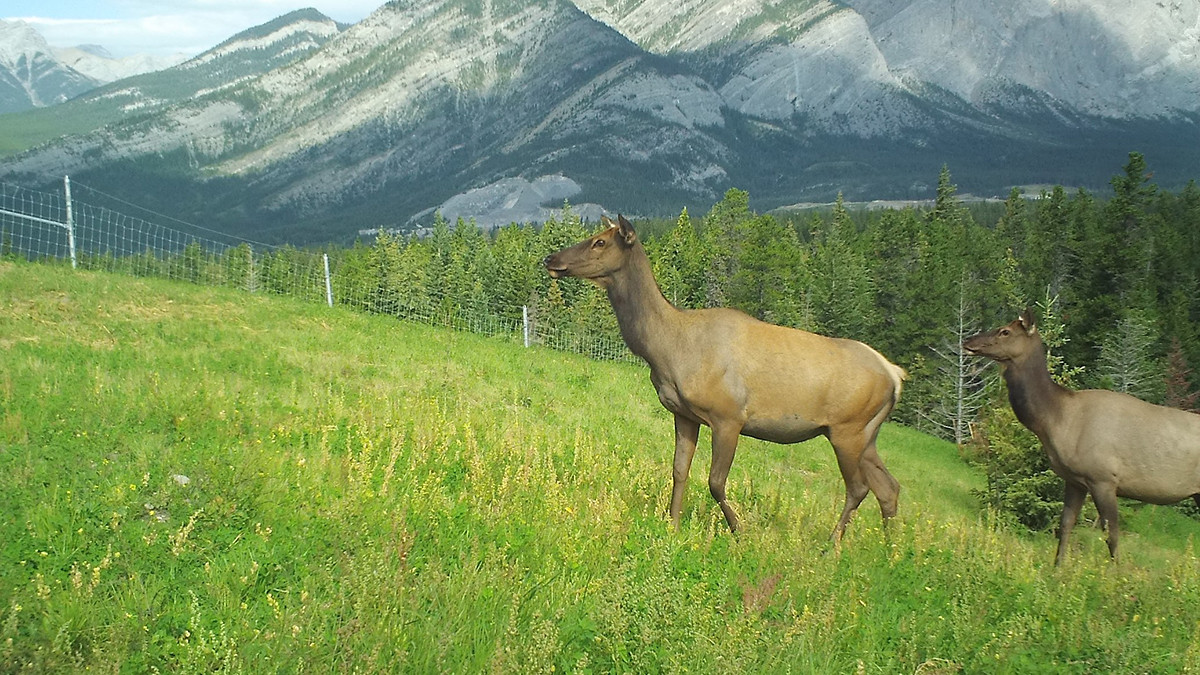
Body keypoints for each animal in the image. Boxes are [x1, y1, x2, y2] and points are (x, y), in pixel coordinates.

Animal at [543, 215, 907, 542]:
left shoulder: (729, 416)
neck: (667, 348)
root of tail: (895, 375)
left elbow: (715, 482)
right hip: (866, 434)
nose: (551, 258)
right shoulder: (684, 414)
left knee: (859, 487)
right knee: (888, 487)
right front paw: (672, 526)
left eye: (600, 242)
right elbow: (680, 470)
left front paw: (740, 531)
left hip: (848, 429)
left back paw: (831, 546)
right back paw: (890, 552)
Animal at [964, 309, 1200, 564]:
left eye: (1005, 331)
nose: (967, 341)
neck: (1056, 420)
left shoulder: (1103, 479)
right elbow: (1065, 524)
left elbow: (1111, 535)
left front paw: (1116, 573)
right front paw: (1057, 567)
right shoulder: (1075, 480)